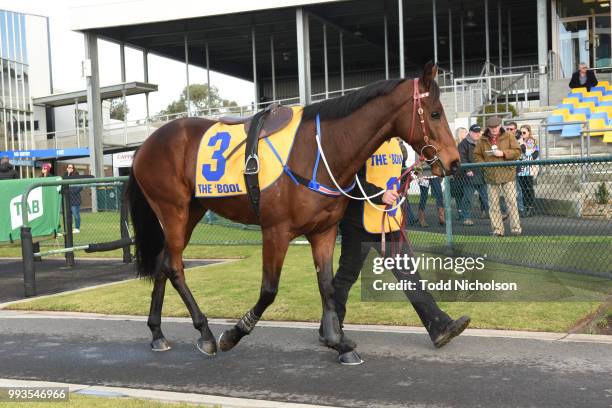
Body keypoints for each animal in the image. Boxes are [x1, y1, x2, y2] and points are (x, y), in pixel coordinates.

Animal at [125, 62, 460, 358]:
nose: (454, 161)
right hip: (173, 211)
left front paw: (338, 343)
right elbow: (269, 290)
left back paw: (157, 333)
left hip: (190, 212)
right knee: (175, 267)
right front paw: (233, 333)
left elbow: (327, 286)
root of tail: (144, 146)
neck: (318, 150)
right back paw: (205, 333)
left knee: (163, 262)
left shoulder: (323, 231)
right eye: (435, 112)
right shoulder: (276, 231)